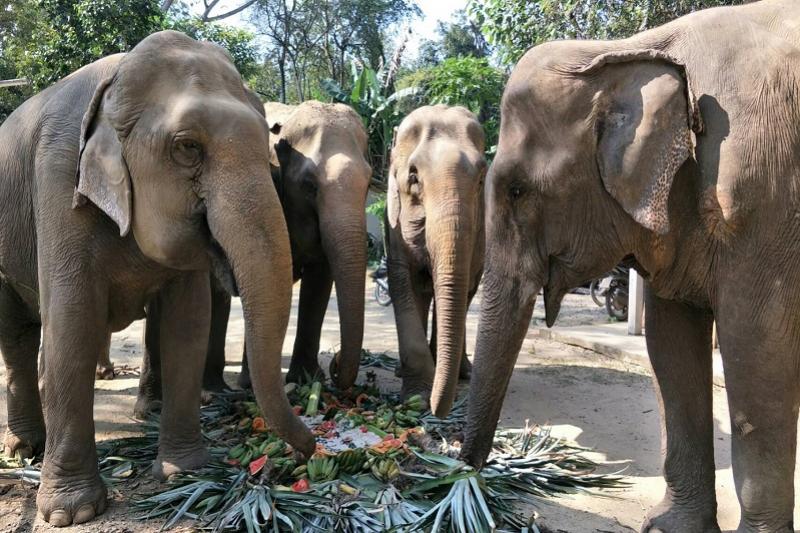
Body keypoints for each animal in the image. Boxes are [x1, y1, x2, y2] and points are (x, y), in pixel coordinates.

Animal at [0, 31, 315, 526]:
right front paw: (72, 513)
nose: (308, 452)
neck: (116, 80)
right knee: (16, 334)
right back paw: (25, 449)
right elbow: (72, 324)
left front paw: (183, 474)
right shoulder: (58, 180)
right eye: (187, 147)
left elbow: (187, 324)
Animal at [132, 100, 371, 416]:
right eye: (310, 185)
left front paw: (307, 381)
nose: (335, 361)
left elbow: (318, 282)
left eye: (369, 184)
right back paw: (169, 403)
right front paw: (255, 386)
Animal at [386, 105, 486, 416]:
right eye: (413, 177)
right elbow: (402, 282)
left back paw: (464, 371)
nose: (436, 410)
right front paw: (417, 398)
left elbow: (462, 290)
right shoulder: (393, 224)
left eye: (481, 178)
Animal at [459, 1, 800, 531]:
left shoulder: (763, 199)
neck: (628, 49)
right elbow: (670, 346)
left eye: (517, 190)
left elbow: (758, 348)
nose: (463, 475)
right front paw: (669, 528)